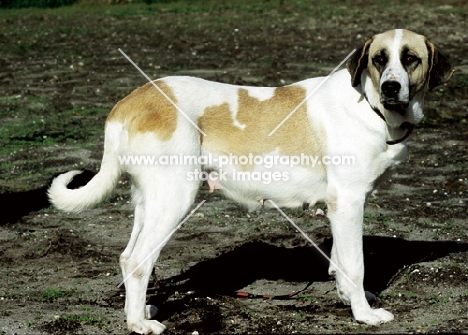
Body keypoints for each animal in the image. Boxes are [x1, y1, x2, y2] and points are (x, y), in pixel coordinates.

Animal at [48, 29, 454, 334]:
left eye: (411, 59)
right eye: (379, 60)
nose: (390, 87)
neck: (370, 106)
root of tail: (129, 102)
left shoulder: (340, 207)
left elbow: (340, 260)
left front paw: (348, 298)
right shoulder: (349, 201)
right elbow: (355, 264)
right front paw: (364, 315)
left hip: (150, 202)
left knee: (127, 257)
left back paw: (141, 311)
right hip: (175, 198)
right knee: (136, 261)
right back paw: (138, 324)